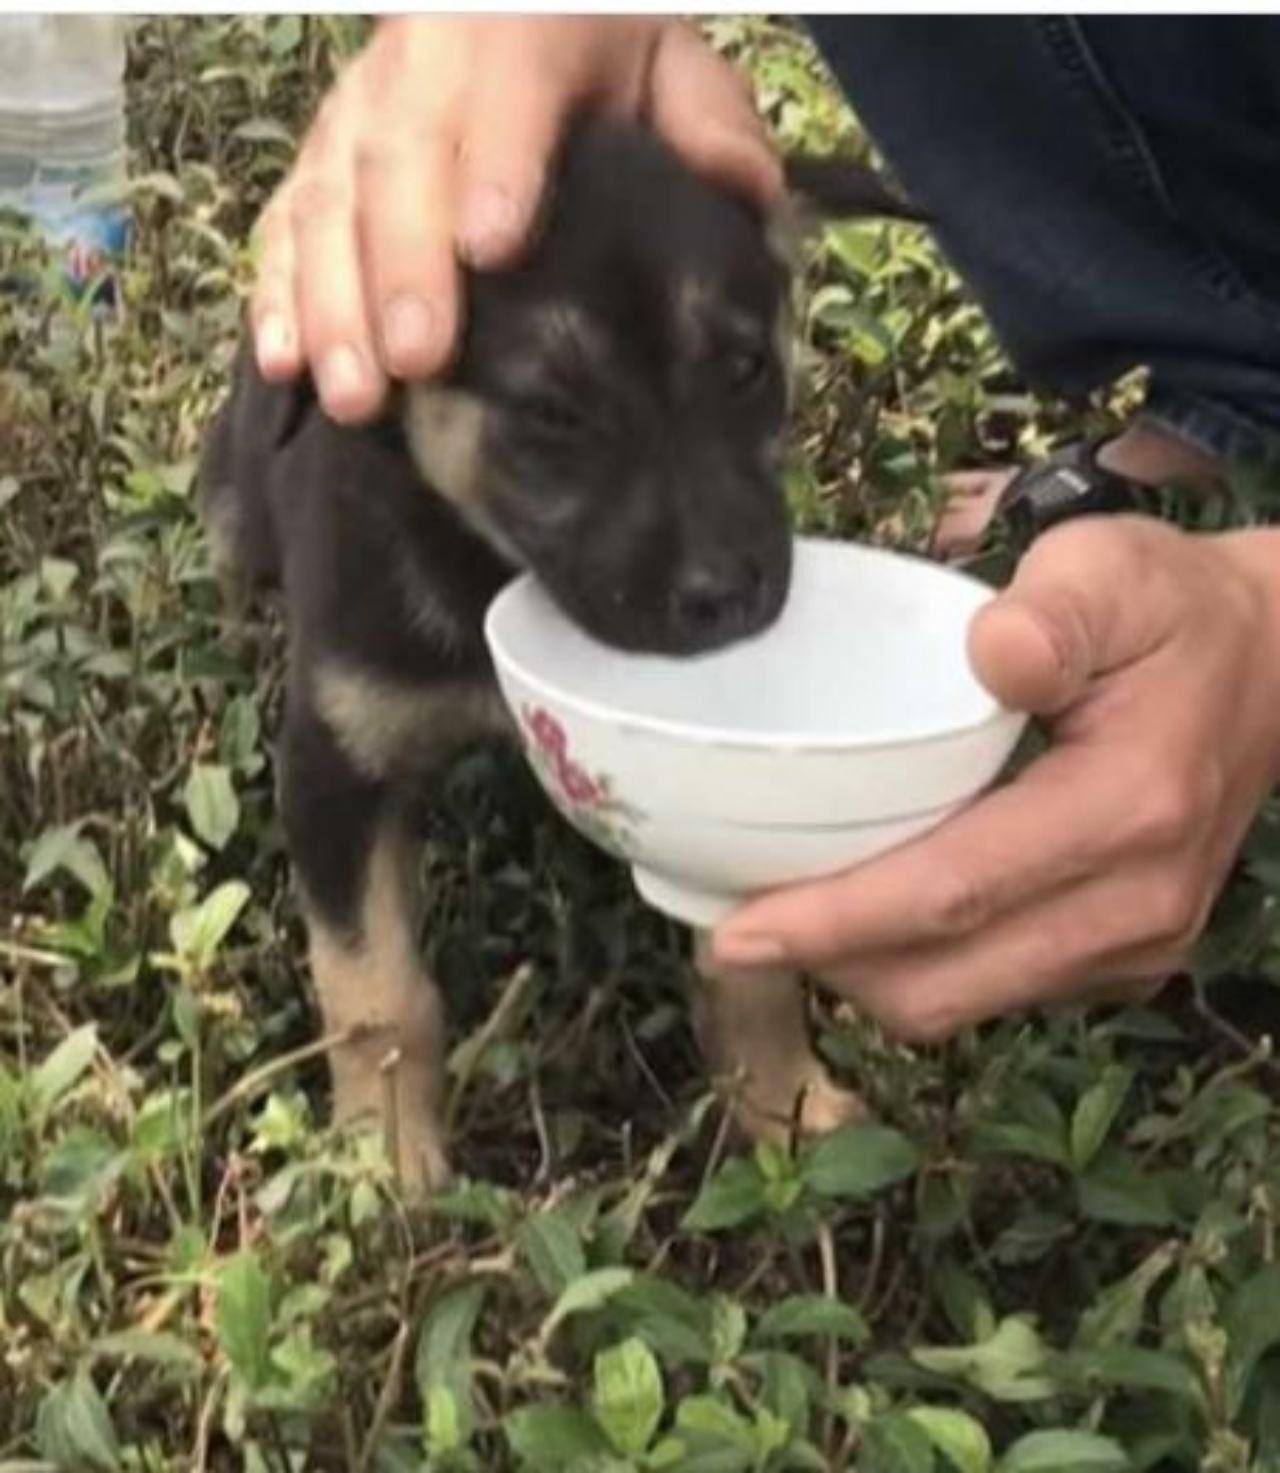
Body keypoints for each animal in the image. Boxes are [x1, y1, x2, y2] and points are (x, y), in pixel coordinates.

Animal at [197, 117, 919, 1196]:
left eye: (745, 368)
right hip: (232, 502)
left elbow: (749, 963)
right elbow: (377, 996)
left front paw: (787, 1107)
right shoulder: (334, 766)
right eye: (552, 416)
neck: (498, 568)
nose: (726, 599)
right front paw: (386, 1165)